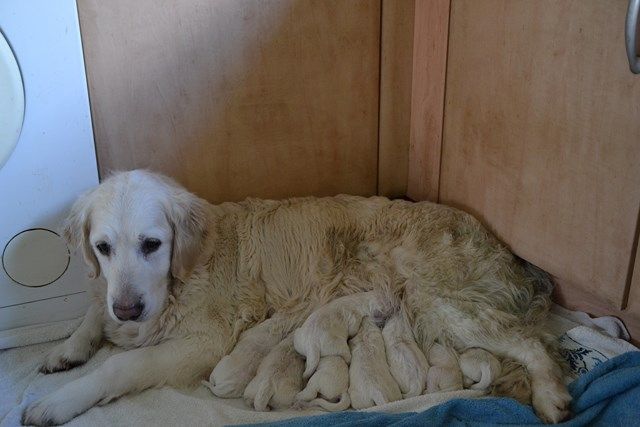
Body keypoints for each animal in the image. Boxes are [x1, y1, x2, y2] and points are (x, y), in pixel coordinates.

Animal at [22, 170, 568, 424]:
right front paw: (66, 349)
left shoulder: (202, 341)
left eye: (152, 244)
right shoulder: (111, 294)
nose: (130, 308)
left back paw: (552, 396)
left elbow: (119, 365)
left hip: (441, 302)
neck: (185, 271)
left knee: (533, 344)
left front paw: (58, 402)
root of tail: (509, 253)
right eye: (102, 247)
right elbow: (93, 311)